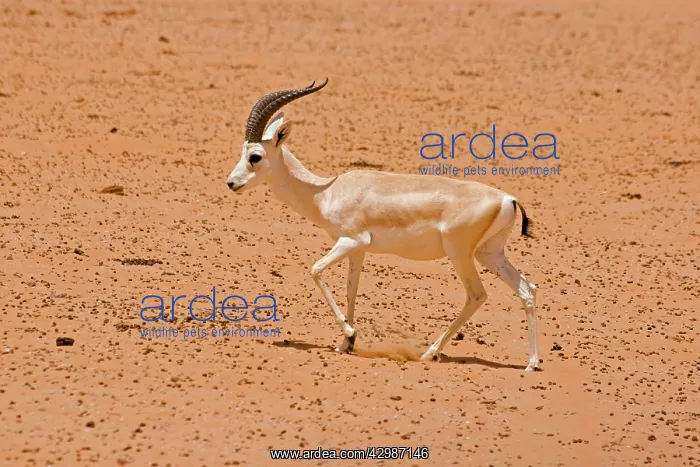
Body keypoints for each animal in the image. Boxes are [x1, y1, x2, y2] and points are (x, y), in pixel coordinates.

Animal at [226, 79, 541, 371]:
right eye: (242, 153)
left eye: (255, 156)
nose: (231, 183)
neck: (326, 192)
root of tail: (508, 198)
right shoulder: (358, 249)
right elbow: (351, 289)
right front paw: (346, 343)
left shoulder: (350, 241)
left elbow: (315, 270)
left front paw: (351, 333)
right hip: (489, 253)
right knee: (527, 289)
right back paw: (532, 363)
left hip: (460, 254)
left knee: (477, 294)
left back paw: (430, 353)